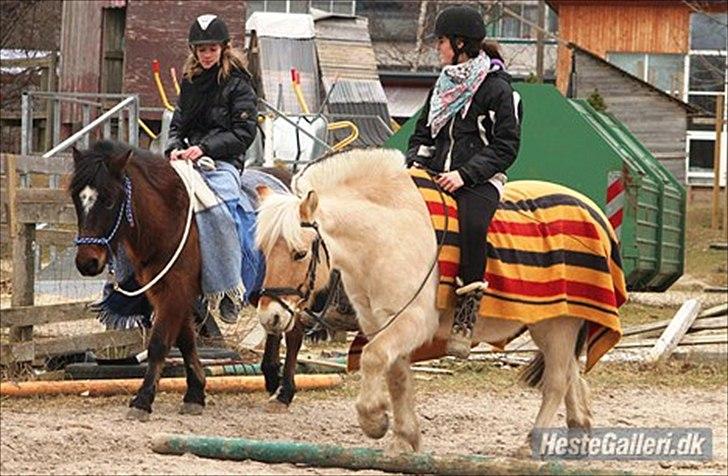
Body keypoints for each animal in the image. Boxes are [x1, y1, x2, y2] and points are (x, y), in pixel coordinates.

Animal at [70, 140, 322, 420]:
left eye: (110, 201)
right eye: (76, 199)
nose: (87, 262)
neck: (171, 218)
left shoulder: (176, 291)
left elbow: (160, 342)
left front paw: (143, 400)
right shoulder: (168, 292)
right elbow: (185, 341)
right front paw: (195, 392)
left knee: (294, 333)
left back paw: (285, 391)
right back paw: (271, 378)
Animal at [256, 149, 624, 454]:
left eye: (299, 253)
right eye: (264, 250)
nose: (270, 317)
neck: (386, 236)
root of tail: (595, 215)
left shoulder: (413, 321)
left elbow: (373, 359)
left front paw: (375, 421)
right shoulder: (381, 322)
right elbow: (397, 377)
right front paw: (406, 439)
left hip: (558, 324)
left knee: (557, 382)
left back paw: (531, 446)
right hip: (550, 324)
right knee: (571, 376)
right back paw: (577, 436)